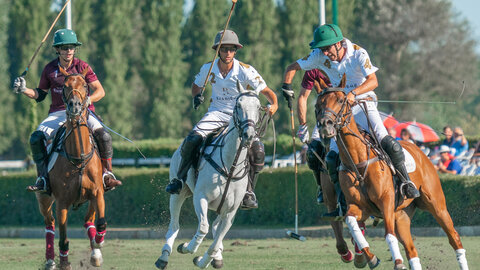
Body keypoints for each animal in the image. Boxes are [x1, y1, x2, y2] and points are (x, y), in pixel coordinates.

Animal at [35, 66, 106, 268]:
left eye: (85, 85)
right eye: (65, 85)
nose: (74, 106)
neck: (79, 156)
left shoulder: (98, 193)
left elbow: (101, 224)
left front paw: (97, 248)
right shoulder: (62, 202)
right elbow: (63, 237)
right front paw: (64, 262)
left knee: (88, 221)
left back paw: (94, 252)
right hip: (43, 198)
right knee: (49, 224)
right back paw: (51, 260)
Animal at [316, 77, 468, 268]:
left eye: (341, 100)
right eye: (317, 104)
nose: (325, 125)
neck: (359, 162)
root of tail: (420, 151)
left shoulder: (386, 201)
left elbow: (388, 234)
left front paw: (397, 263)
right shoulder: (359, 206)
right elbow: (352, 222)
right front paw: (370, 258)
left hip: (437, 205)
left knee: (454, 238)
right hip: (401, 215)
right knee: (411, 250)